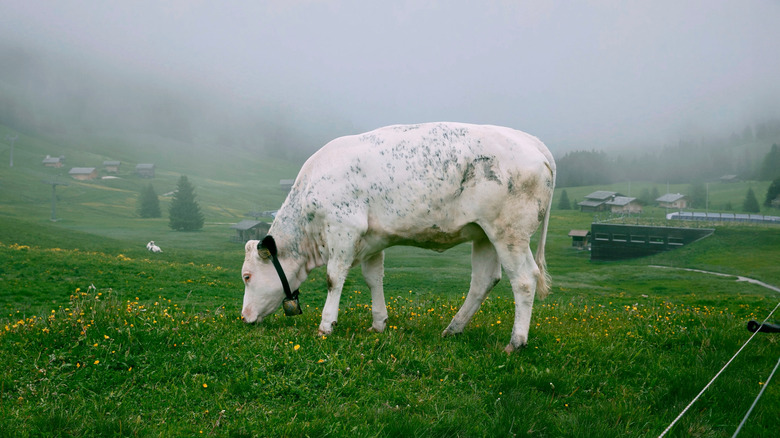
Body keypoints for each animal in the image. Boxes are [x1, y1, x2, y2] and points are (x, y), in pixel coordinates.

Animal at [244, 122, 556, 352]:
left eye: (247, 276)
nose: (244, 317)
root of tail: (532, 141)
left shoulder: (343, 229)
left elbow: (333, 279)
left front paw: (326, 325)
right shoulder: (371, 239)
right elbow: (373, 279)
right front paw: (378, 323)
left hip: (509, 232)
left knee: (525, 279)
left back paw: (515, 342)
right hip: (484, 234)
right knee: (483, 280)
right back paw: (453, 328)